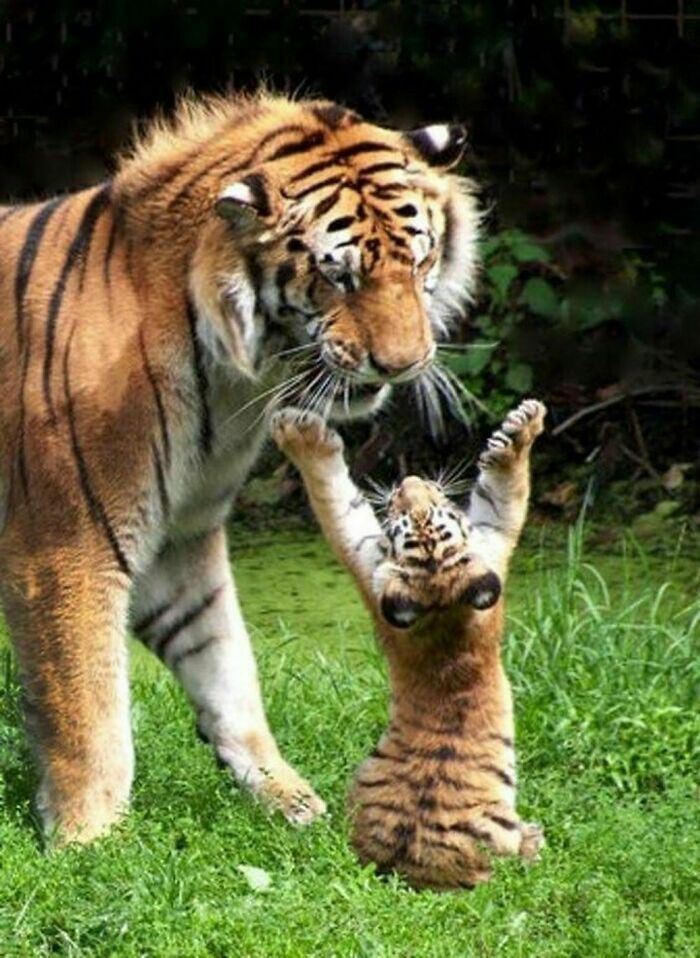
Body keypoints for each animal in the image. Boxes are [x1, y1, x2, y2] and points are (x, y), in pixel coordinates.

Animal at [0, 91, 481, 844]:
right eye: (339, 274)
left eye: (420, 259)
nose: (403, 364)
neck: (224, 375)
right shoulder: (65, 545)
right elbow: (86, 706)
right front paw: (88, 840)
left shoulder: (181, 537)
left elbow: (225, 666)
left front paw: (283, 794)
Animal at [272, 399, 546, 890]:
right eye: (406, 517)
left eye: (435, 509)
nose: (411, 481)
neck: (441, 601)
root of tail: (411, 870)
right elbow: (508, 494)